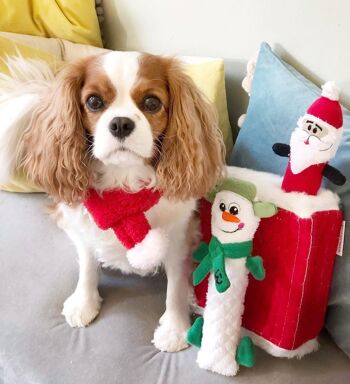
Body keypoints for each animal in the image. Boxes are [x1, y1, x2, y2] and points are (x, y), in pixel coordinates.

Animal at [0, 51, 224, 352]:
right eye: (94, 101)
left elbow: (175, 283)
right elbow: (87, 265)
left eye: (152, 102)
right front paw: (84, 302)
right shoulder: (85, 228)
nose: (120, 123)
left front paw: (175, 328)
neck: (124, 184)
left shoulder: (179, 236)